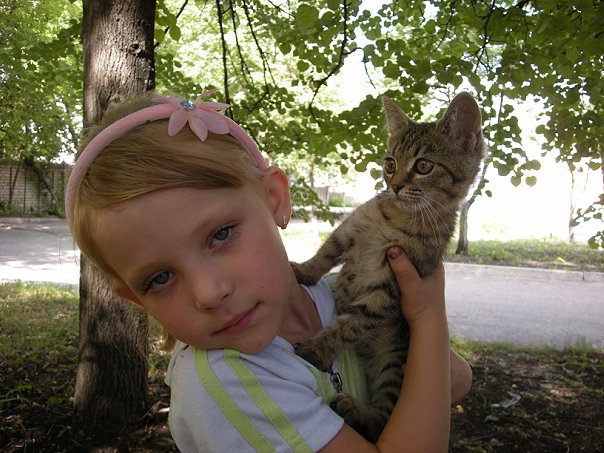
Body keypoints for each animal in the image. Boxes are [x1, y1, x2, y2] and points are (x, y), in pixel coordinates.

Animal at [292, 92, 487, 442]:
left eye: (423, 165)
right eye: (390, 163)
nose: (394, 185)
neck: (399, 218)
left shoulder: (390, 287)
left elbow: (356, 322)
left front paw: (320, 348)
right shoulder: (350, 231)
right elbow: (325, 255)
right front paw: (302, 271)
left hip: (395, 362)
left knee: (383, 418)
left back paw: (358, 413)